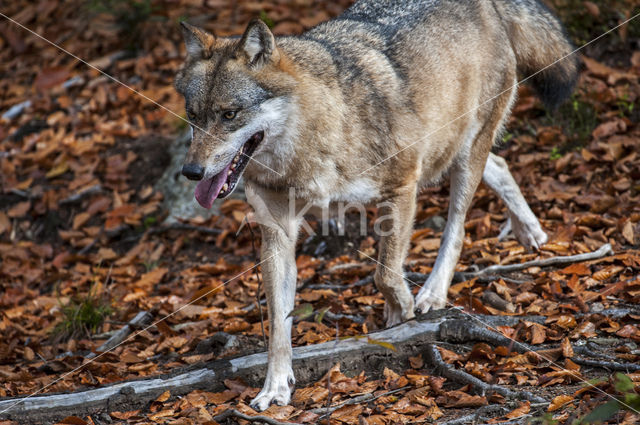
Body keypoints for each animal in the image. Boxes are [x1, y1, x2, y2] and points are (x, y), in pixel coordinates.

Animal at [172, 0, 576, 410]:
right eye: (193, 116)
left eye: (229, 114)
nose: (191, 171)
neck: (317, 134)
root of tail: (486, 5)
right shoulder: (278, 234)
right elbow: (277, 326)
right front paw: (275, 387)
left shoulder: (401, 188)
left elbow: (385, 274)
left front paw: (402, 315)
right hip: (450, 154)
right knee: (501, 164)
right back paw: (531, 231)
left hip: (459, 159)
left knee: (458, 228)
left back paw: (433, 293)